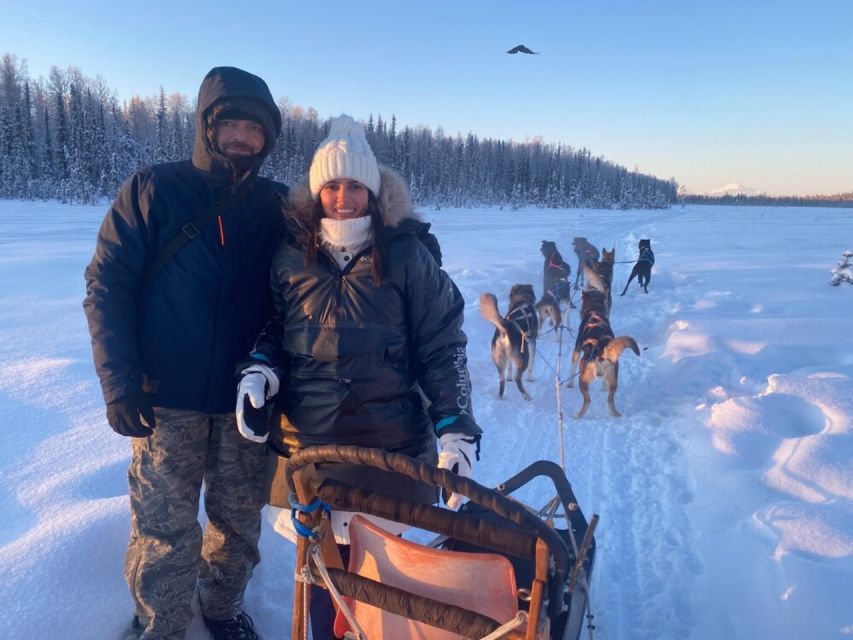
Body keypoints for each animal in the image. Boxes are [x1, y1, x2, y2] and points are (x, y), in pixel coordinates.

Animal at [564, 290, 640, 420]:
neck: (595, 311)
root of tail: (600, 348)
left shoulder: (577, 350)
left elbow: (572, 368)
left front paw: (569, 384)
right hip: (613, 380)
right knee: (610, 400)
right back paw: (615, 414)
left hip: (582, 379)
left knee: (588, 400)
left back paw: (578, 415)